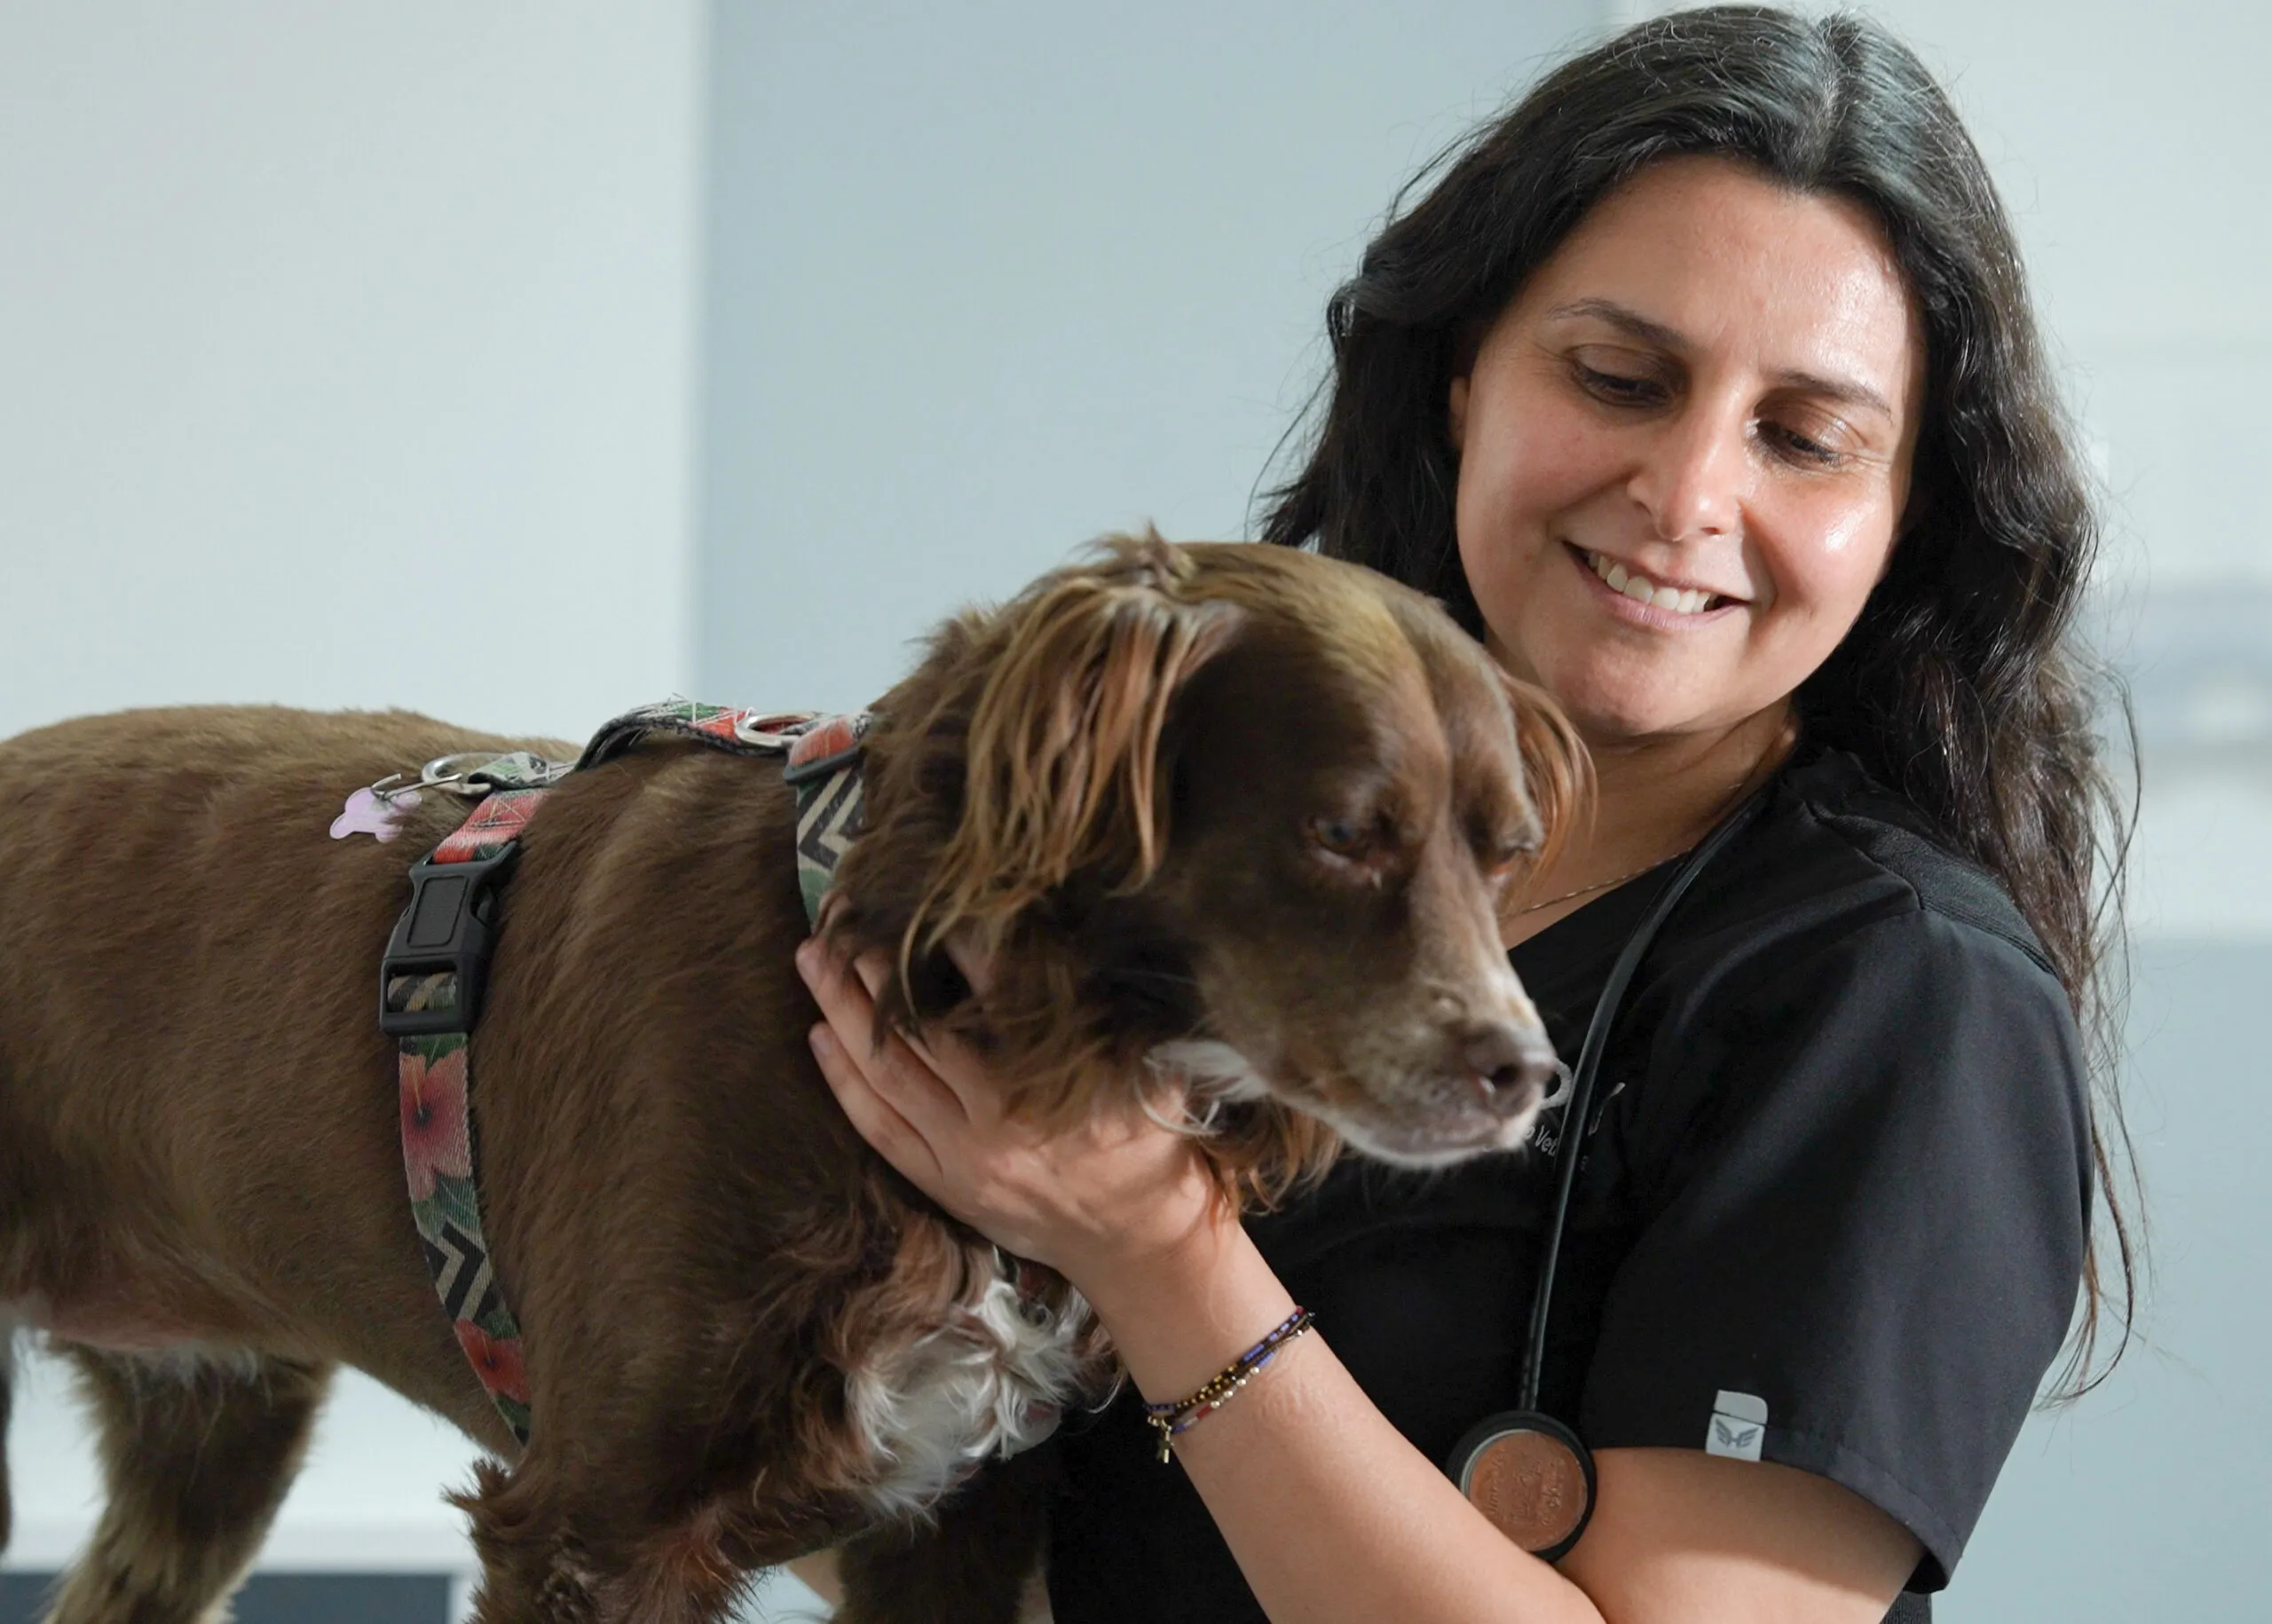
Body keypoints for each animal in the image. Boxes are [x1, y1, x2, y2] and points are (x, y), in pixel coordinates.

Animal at [0, 535, 1580, 1624]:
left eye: (1505, 850)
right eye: (1344, 831)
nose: (1529, 1076)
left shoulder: (952, 1528)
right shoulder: (589, 1527)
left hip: (210, 1427)